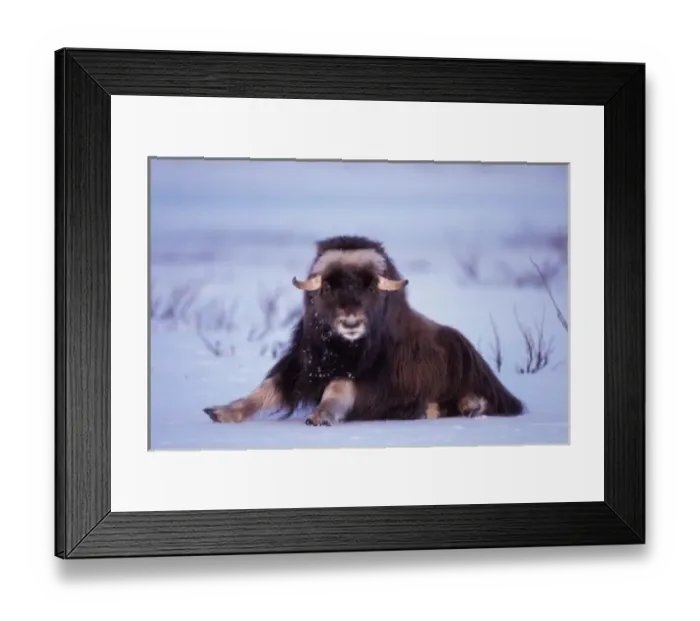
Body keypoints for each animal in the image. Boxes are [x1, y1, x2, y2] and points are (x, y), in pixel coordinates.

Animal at [204, 235, 525, 426]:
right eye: (328, 286)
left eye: (369, 286)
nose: (351, 322)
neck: (341, 348)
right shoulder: (300, 366)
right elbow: (266, 389)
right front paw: (220, 412)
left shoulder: (375, 382)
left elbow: (339, 386)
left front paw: (320, 416)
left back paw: (461, 406)